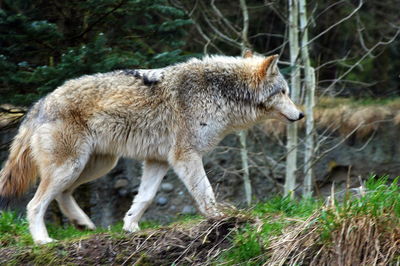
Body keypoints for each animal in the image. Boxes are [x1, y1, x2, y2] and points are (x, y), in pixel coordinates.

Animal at [0, 51, 302, 244]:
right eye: (284, 92)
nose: (300, 115)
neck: (219, 93)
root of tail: (40, 103)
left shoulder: (159, 161)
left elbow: (144, 198)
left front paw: (130, 227)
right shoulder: (185, 156)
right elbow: (205, 192)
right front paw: (220, 219)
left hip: (94, 165)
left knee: (63, 195)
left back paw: (82, 223)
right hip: (72, 166)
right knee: (35, 204)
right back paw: (43, 240)